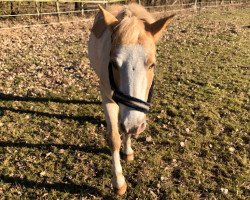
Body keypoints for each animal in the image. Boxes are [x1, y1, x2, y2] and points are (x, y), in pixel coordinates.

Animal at [88, 3, 174, 195]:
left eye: (152, 64)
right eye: (113, 63)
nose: (135, 125)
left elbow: (127, 128)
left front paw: (128, 151)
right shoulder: (108, 98)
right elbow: (114, 138)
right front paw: (118, 182)